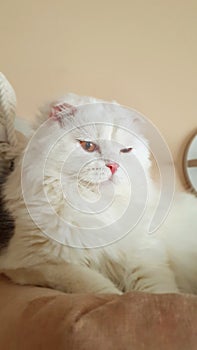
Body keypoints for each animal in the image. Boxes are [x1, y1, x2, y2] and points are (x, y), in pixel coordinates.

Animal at [0, 93, 196, 296]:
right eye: (88, 146)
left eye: (125, 150)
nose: (114, 166)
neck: (98, 208)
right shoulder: (33, 264)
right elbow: (96, 287)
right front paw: (116, 296)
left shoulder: (145, 257)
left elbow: (159, 292)